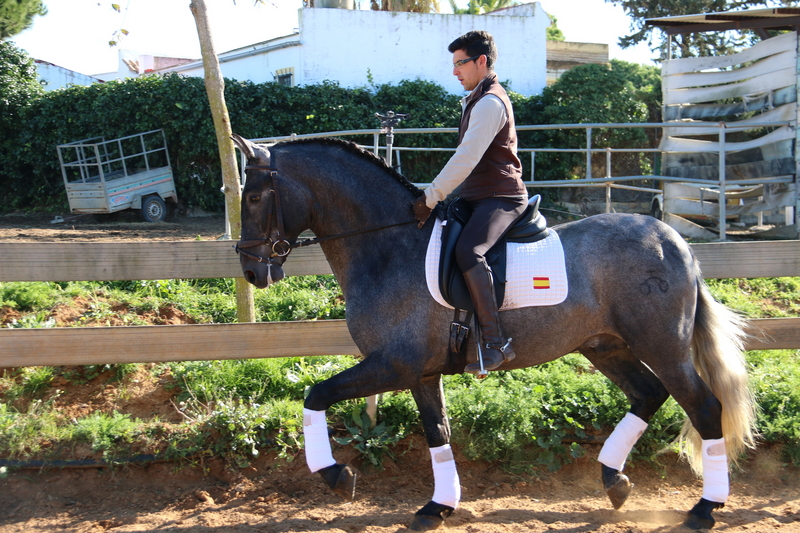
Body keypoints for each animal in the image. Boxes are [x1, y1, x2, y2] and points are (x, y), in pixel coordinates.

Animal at [230, 134, 756, 531]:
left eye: (253, 197)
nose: (253, 270)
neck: (388, 243)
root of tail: (672, 239)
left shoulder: (393, 364)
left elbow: (316, 395)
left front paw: (335, 475)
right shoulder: (420, 373)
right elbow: (437, 433)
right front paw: (438, 506)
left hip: (663, 346)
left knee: (704, 407)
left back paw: (704, 508)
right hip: (605, 347)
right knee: (648, 394)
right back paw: (615, 481)